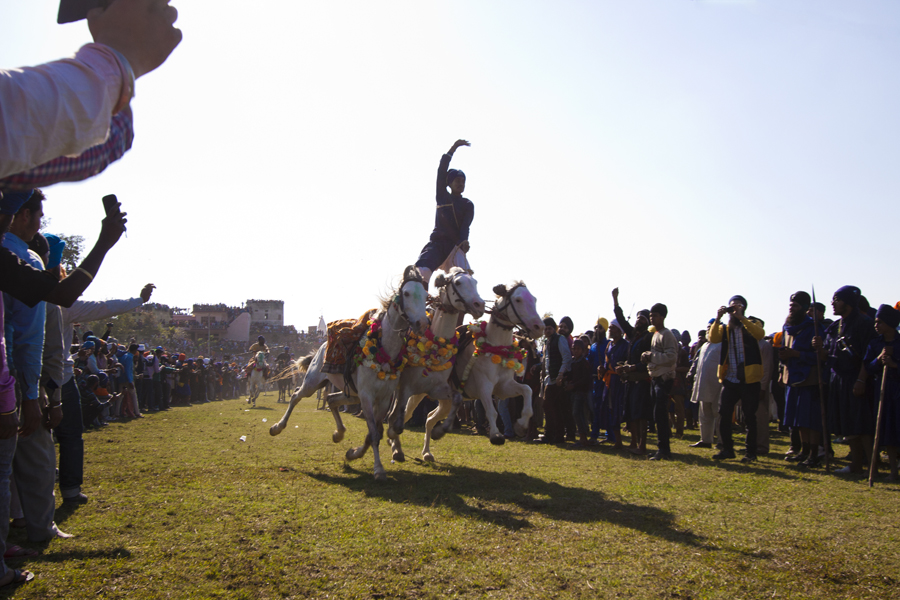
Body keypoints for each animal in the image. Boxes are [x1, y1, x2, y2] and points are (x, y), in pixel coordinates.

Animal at [268, 268, 430, 482]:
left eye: (426, 295)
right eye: (407, 293)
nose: (422, 322)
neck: (384, 348)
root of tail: (320, 349)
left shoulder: (383, 399)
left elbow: (375, 431)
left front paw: (354, 453)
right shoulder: (367, 396)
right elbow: (374, 433)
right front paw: (378, 469)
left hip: (350, 394)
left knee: (331, 399)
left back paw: (339, 434)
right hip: (313, 382)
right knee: (296, 396)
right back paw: (277, 427)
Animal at [386, 268, 486, 464]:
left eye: (475, 282)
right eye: (459, 282)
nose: (479, 305)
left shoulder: (437, 390)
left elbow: (456, 400)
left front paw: (439, 432)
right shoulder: (406, 388)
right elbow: (398, 418)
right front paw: (393, 441)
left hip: (427, 397)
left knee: (427, 418)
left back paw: (426, 452)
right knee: (398, 414)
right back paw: (396, 448)